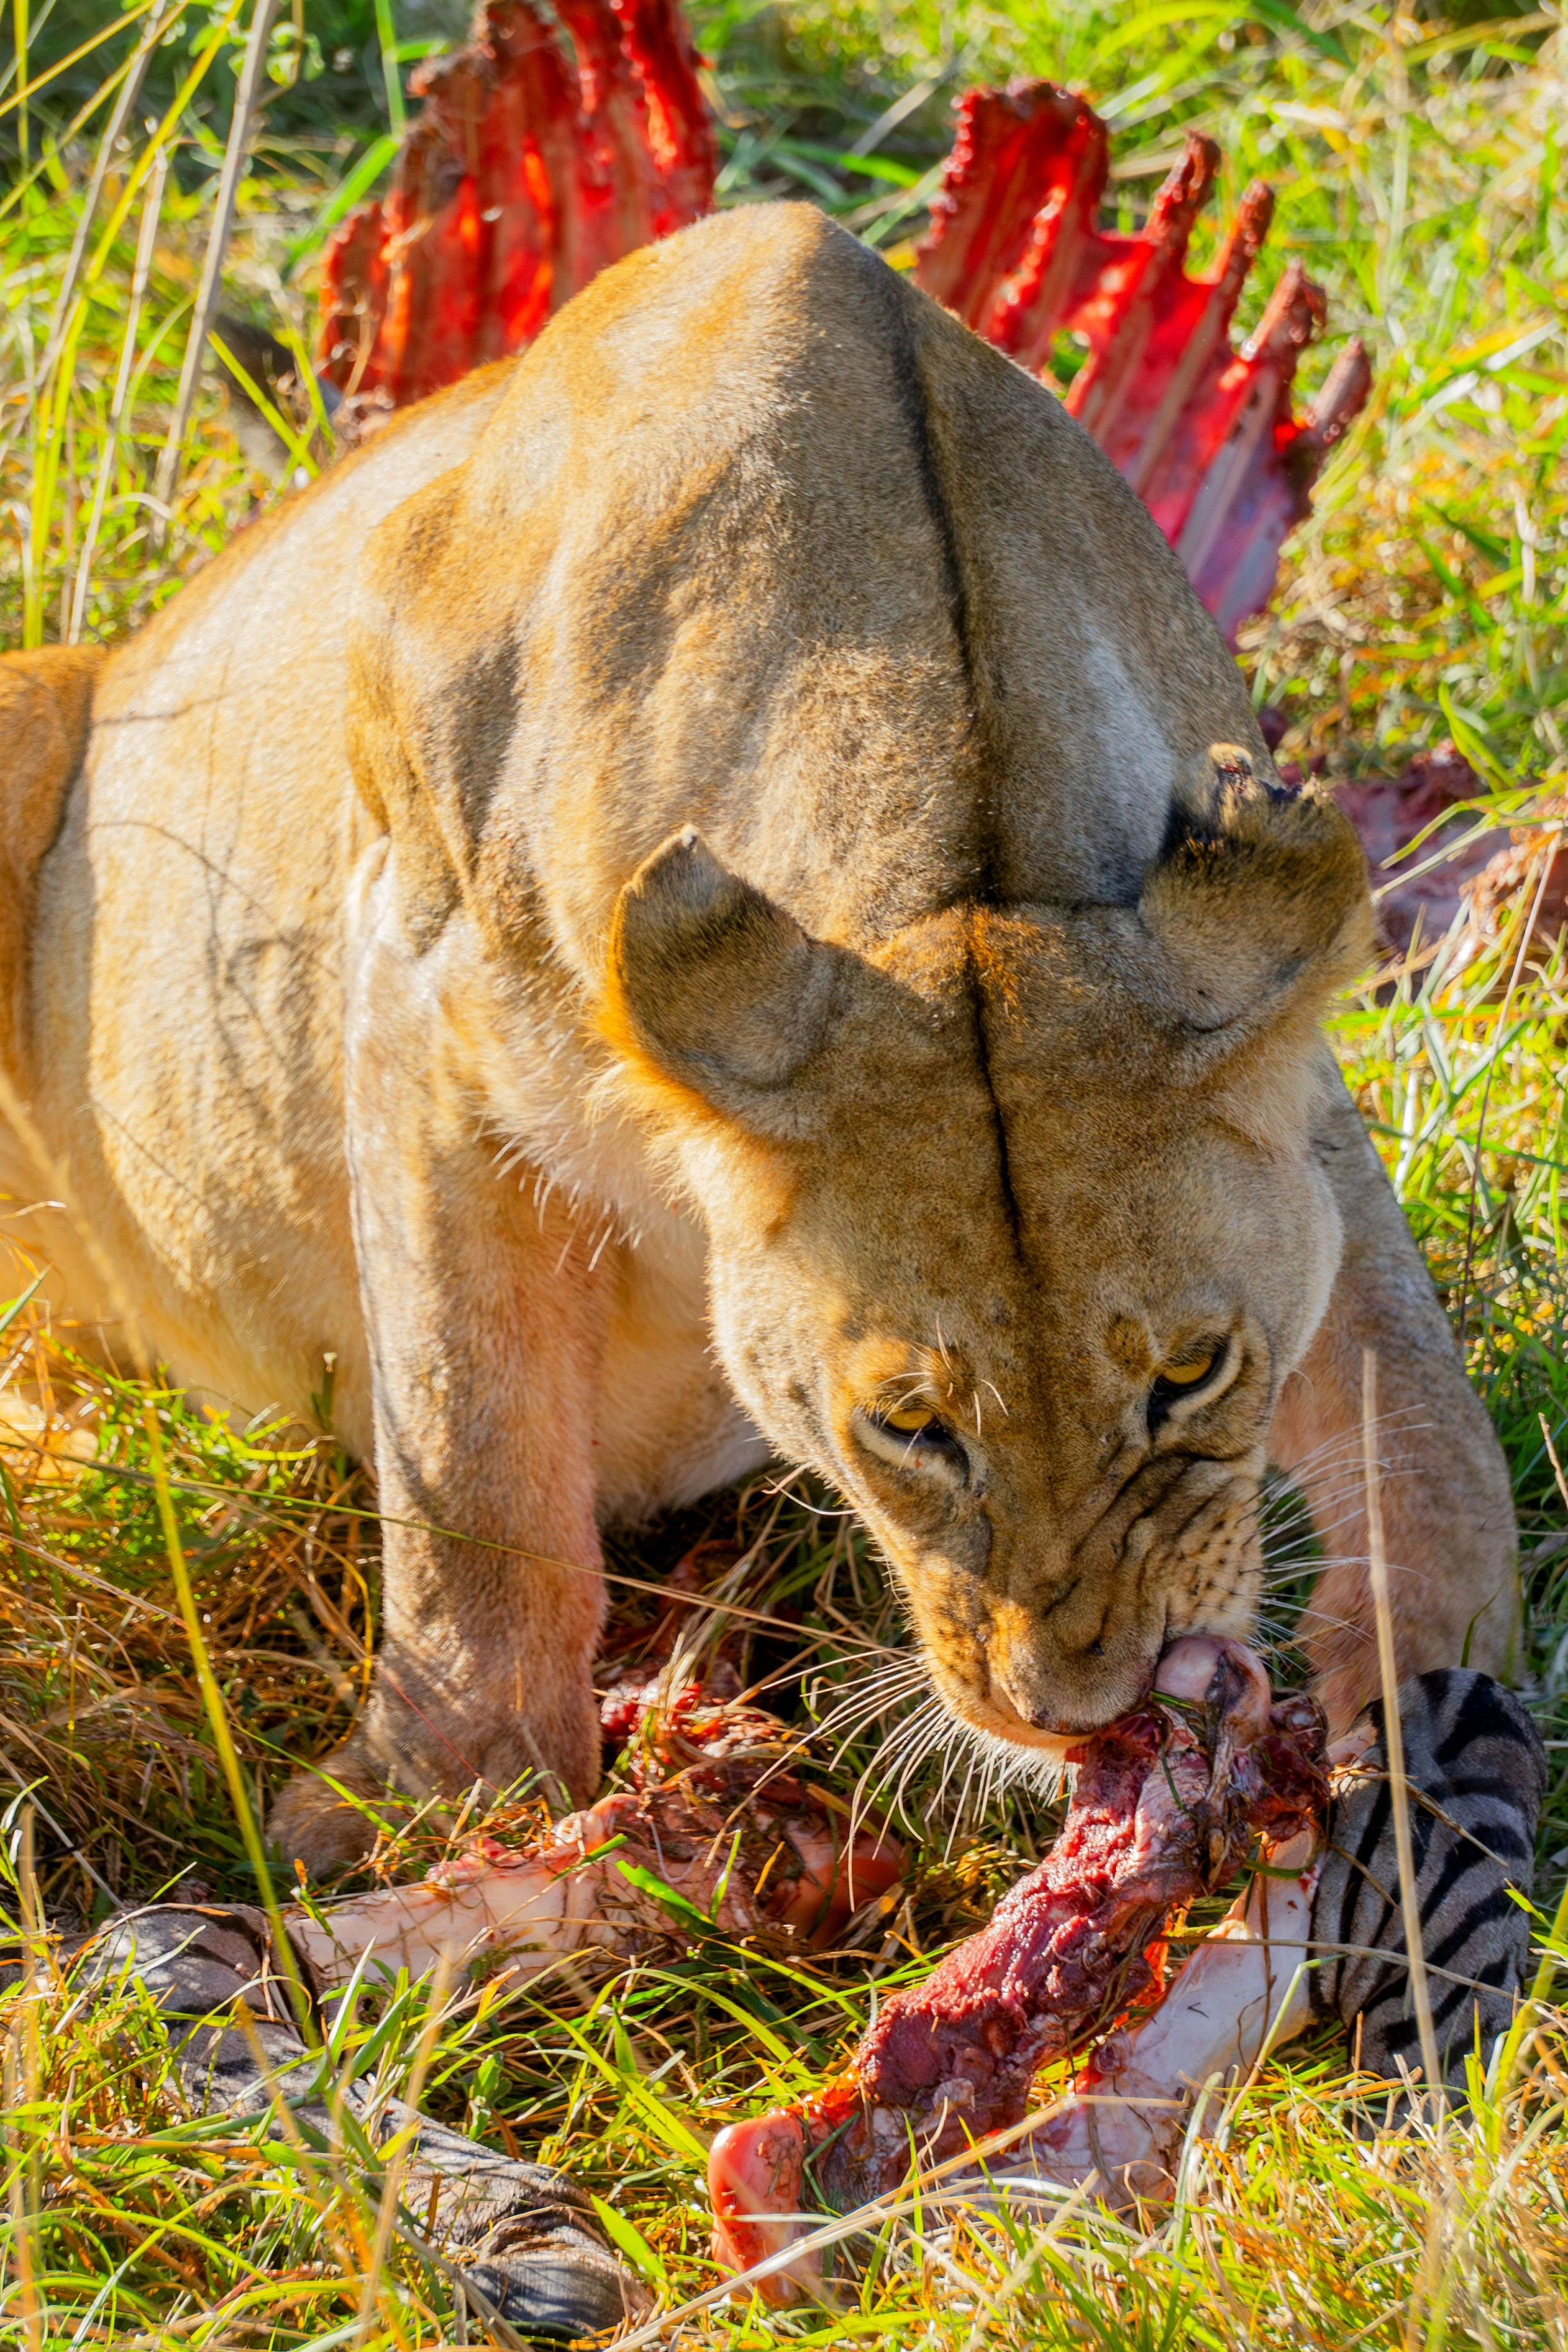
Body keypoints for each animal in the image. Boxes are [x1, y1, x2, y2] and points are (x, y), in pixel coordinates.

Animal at [1, 205, 1516, 1870]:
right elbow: (471, 1455)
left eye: (1189, 1372)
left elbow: (1421, 1398)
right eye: (908, 1424)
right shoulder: (414, 973)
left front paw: (1429, 1706)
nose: (1082, 1709)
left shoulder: (1259, 1032)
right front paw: (445, 1801)